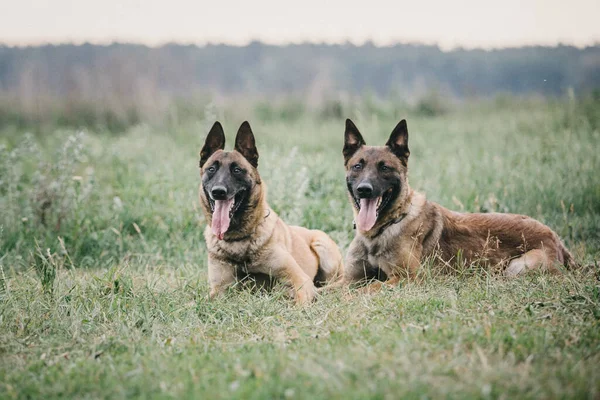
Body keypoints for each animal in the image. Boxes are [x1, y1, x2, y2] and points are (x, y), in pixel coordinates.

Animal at [200, 122, 344, 304]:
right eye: (211, 169)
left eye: (237, 170)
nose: (218, 191)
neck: (238, 239)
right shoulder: (219, 290)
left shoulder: (301, 281)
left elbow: (301, 302)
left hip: (322, 246)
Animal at [340, 117, 576, 286]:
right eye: (358, 166)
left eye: (384, 168)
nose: (364, 189)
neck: (379, 232)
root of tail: (557, 240)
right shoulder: (349, 279)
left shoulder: (406, 278)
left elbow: (364, 290)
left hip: (517, 267)